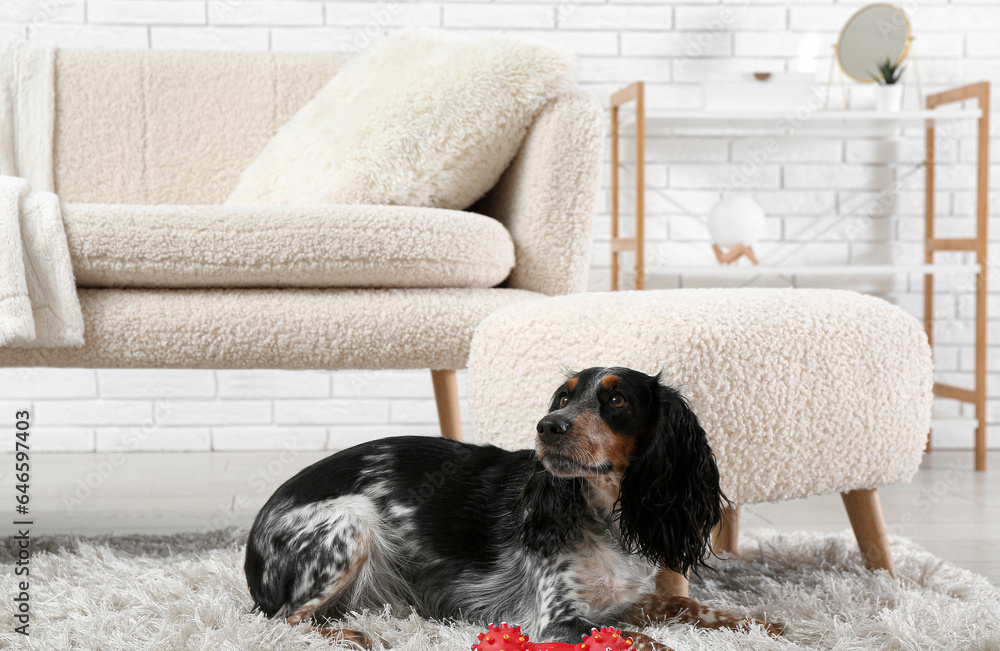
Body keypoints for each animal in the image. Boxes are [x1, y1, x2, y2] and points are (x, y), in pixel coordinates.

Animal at [244, 370, 780, 648]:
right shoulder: (556, 618)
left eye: (617, 399)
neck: (601, 513)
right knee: (283, 620)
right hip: (352, 523)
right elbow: (645, 640)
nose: (548, 425)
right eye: (564, 396)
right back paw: (357, 637)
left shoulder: (624, 600)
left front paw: (764, 623)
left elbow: (684, 604)